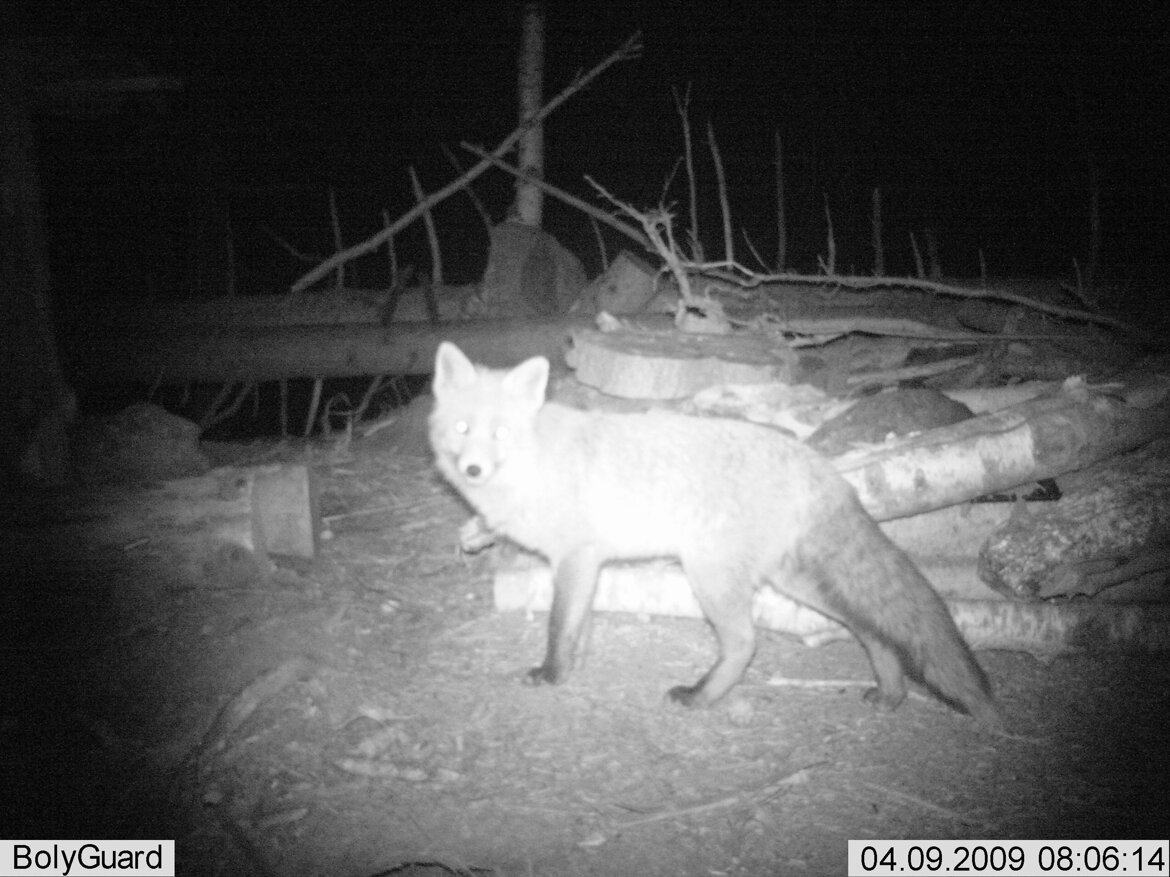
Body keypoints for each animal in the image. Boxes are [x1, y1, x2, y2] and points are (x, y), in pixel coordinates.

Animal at [428, 341, 1002, 729]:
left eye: (500, 433)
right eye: (462, 429)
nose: (474, 469)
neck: (535, 464)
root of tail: (821, 466)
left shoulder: (575, 556)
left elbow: (557, 627)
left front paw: (551, 675)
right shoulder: (586, 564)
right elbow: (576, 627)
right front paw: (573, 666)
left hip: (709, 575)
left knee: (746, 643)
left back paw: (702, 697)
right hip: (795, 581)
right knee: (870, 629)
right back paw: (889, 694)